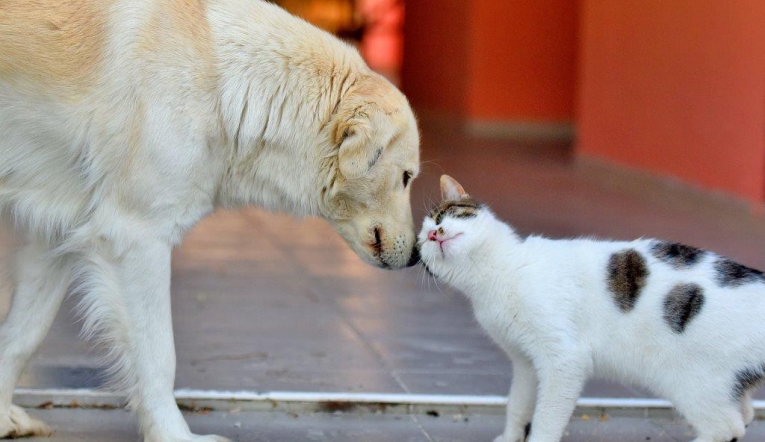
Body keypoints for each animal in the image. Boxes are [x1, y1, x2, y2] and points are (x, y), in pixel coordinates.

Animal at [0, 1, 418, 440]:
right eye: (407, 177)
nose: (416, 258)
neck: (224, 77)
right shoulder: (137, 239)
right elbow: (157, 357)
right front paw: (173, 435)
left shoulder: (55, 234)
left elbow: (23, 334)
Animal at [418, 174, 764, 442]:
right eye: (422, 244)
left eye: (443, 217)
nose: (434, 234)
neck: (495, 275)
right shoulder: (525, 361)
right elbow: (517, 403)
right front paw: (510, 436)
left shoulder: (564, 359)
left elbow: (547, 417)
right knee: (744, 414)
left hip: (692, 383)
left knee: (727, 427)